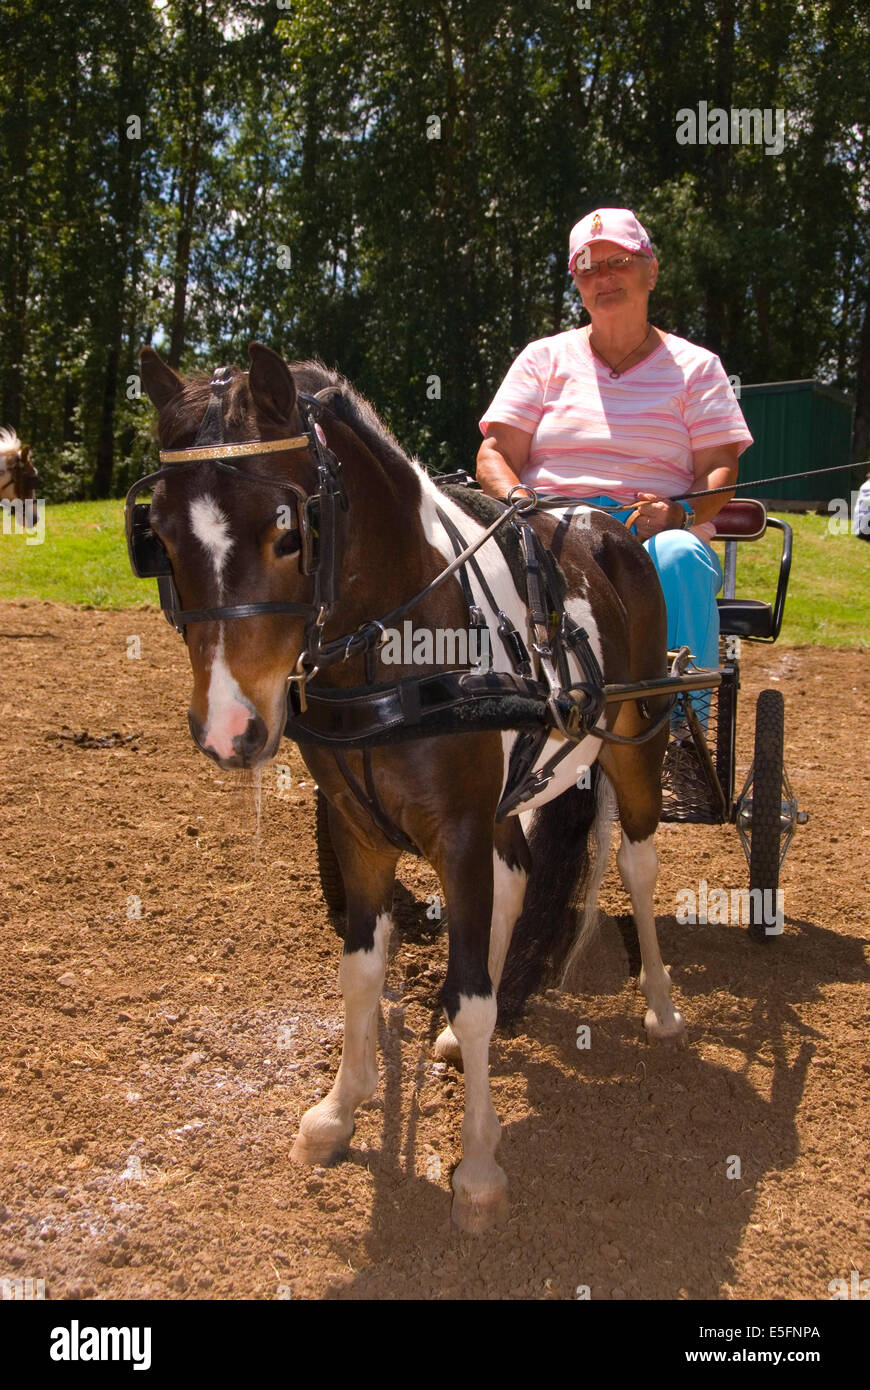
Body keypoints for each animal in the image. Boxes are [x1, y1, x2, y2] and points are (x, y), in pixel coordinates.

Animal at [133, 341, 685, 1233]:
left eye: (290, 534)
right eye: (160, 537)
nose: (229, 727)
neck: (399, 642)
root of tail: (606, 522)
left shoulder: (456, 829)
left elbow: (472, 996)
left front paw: (479, 1167)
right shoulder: (357, 828)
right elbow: (363, 972)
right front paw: (339, 1110)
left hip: (639, 740)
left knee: (637, 863)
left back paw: (663, 1006)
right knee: (516, 873)